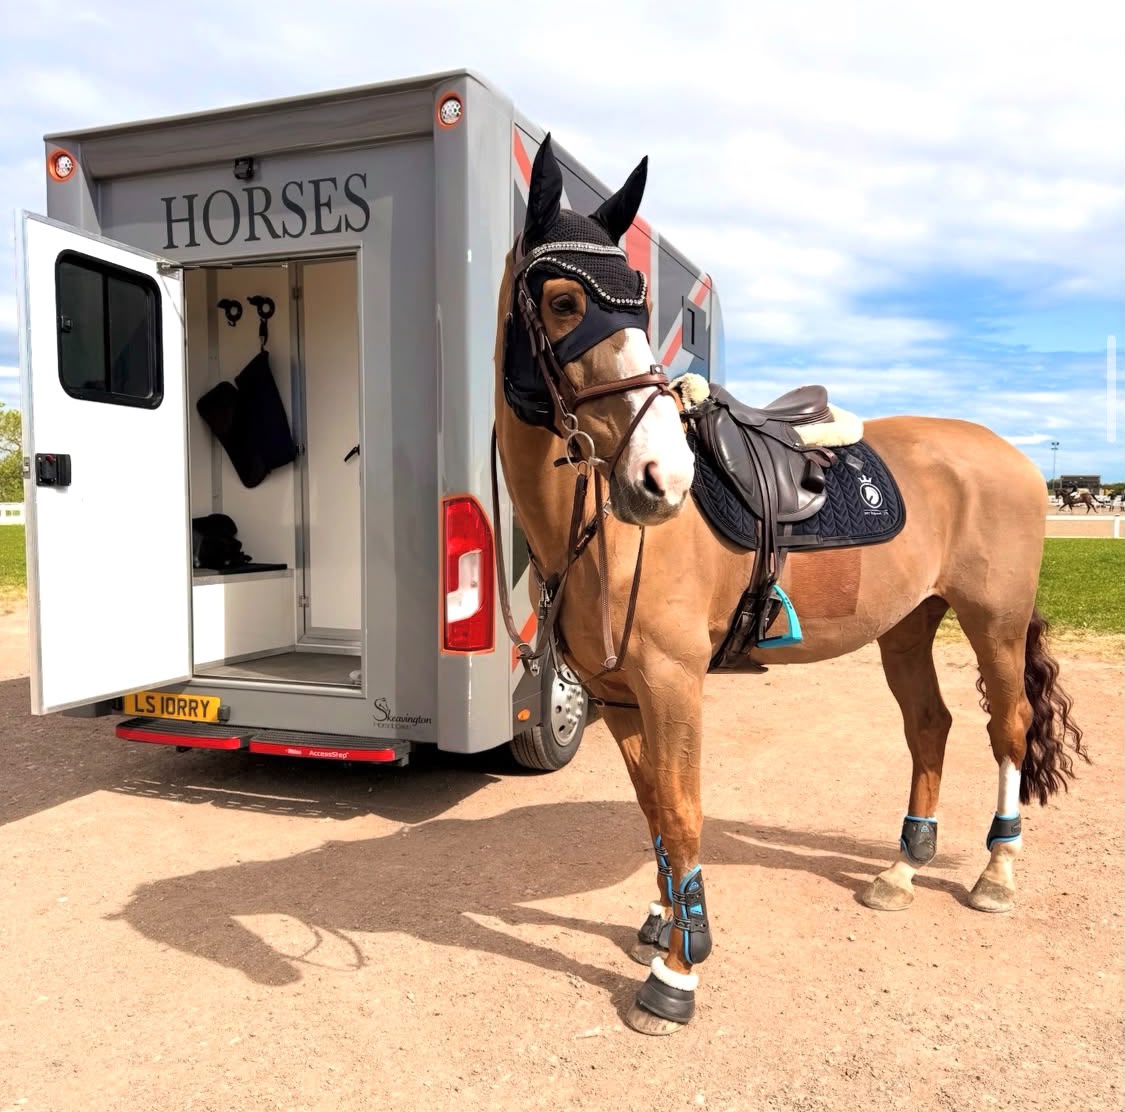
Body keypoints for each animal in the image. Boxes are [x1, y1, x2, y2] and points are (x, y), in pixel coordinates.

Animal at [494, 135, 1085, 1036]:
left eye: (638, 306)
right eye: (563, 300)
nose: (660, 478)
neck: (602, 535)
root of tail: (1009, 455)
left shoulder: (671, 683)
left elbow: (683, 812)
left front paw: (676, 975)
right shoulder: (621, 694)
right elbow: (654, 812)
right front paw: (667, 922)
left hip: (994, 622)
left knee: (1007, 729)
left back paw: (996, 871)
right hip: (909, 625)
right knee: (930, 727)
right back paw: (901, 869)